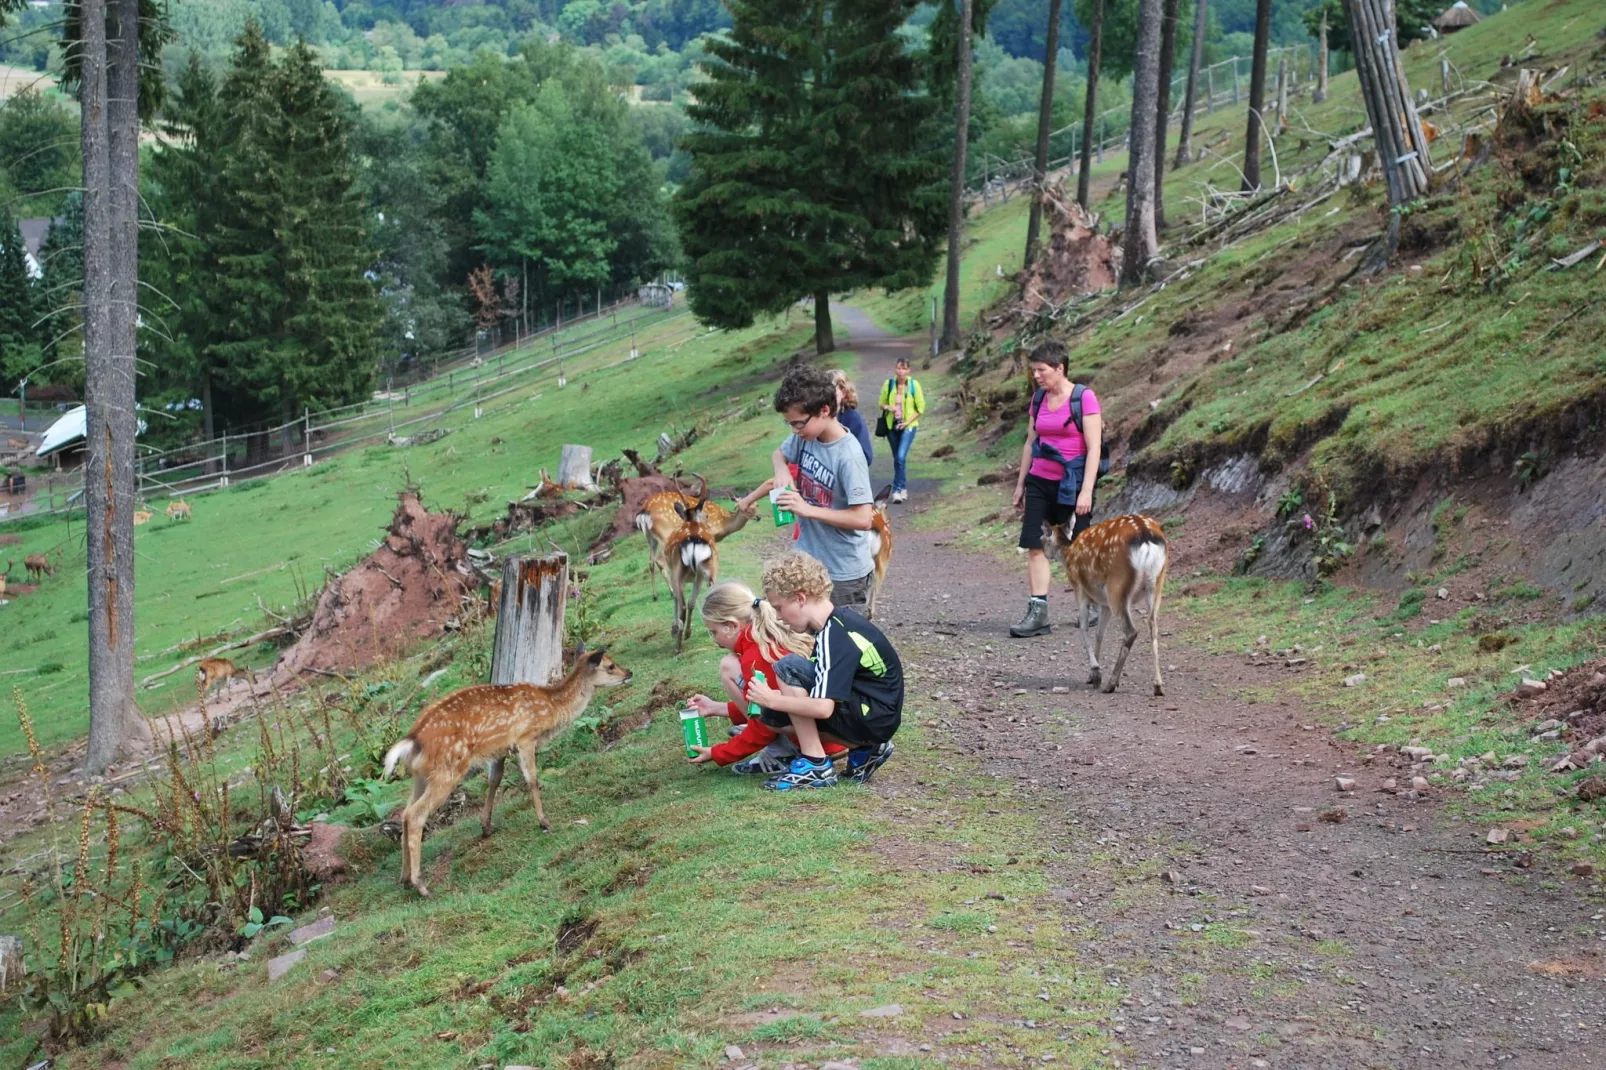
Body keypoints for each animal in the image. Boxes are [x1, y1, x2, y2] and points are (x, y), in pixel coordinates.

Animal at [383, 645, 632, 893]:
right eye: (610, 665)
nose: (629, 672)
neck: (550, 708)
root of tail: (412, 741)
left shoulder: (499, 750)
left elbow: (495, 780)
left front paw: (486, 826)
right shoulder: (525, 738)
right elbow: (532, 779)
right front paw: (544, 822)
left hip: (421, 776)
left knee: (405, 813)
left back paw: (404, 878)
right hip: (448, 769)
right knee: (416, 815)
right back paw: (421, 885)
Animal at [629, 472, 754, 600]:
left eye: (756, 505)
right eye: (748, 507)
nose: (758, 517)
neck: (724, 524)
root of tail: (643, 514)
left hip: (650, 538)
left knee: (651, 562)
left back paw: (656, 595)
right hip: (665, 535)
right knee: (660, 560)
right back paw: (672, 592)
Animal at [1040, 514, 1169, 697]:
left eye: (1042, 538)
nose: (1044, 553)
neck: (1068, 553)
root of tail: (1144, 534)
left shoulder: (1080, 590)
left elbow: (1084, 628)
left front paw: (1095, 672)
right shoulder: (1104, 603)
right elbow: (1099, 634)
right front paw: (1091, 674)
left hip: (1117, 585)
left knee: (1130, 631)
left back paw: (1110, 684)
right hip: (1157, 583)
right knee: (1153, 625)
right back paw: (1157, 686)